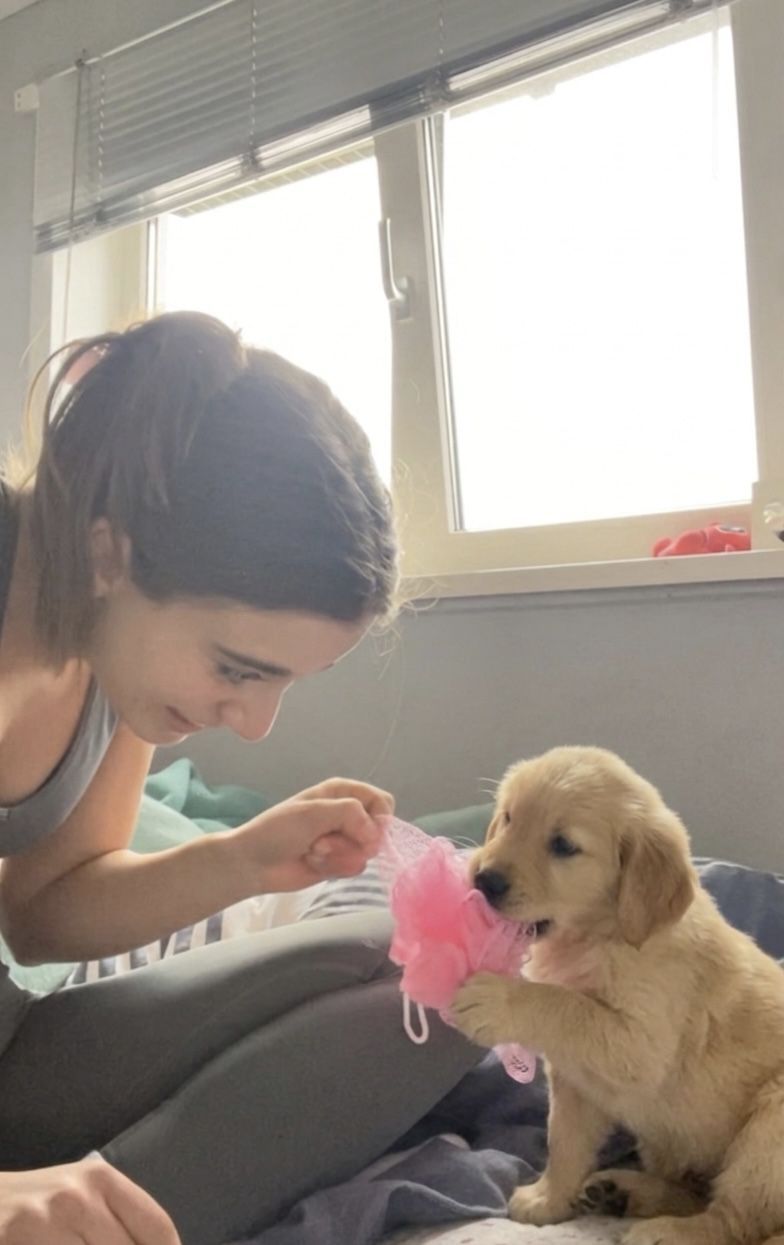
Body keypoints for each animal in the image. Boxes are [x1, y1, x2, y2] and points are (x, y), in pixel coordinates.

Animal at [451, 746, 784, 1245]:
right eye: (508, 818)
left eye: (563, 846)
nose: (483, 879)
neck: (602, 934)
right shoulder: (573, 1079)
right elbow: (563, 1141)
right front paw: (549, 1199)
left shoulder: (642, 1043)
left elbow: (564, 1003)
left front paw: (499, 999)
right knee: (695, 1190)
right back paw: (623, 1192)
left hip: (769, 1127)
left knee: (734, 1219)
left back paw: (668, 1232)